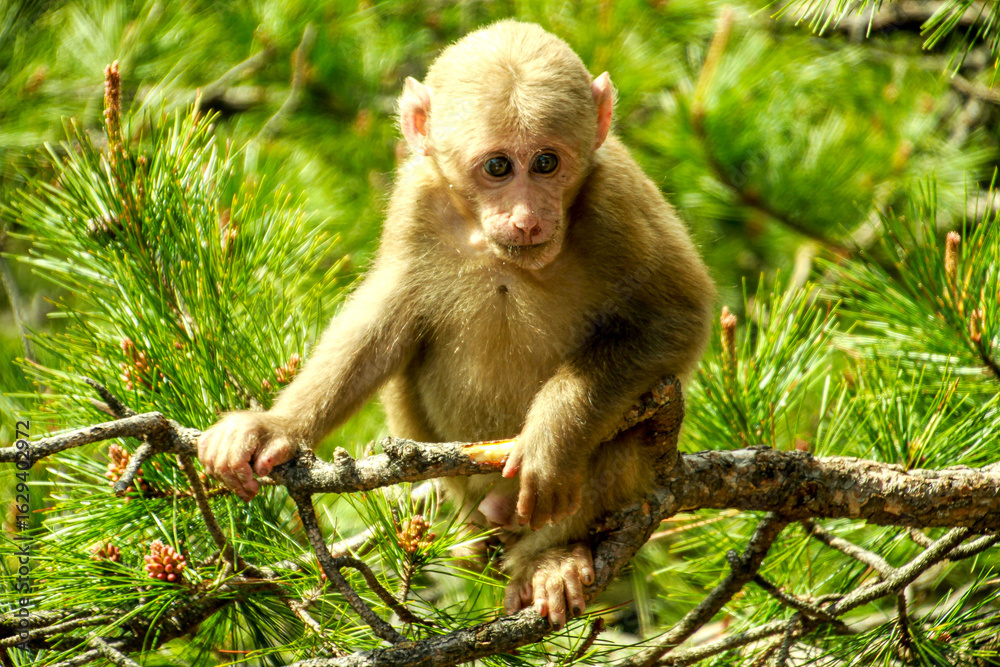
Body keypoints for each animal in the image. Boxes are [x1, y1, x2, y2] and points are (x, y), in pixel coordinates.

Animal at [198, 20, 714, 628]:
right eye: (498, 167)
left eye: (547, 162)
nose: (528, 218)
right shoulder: (417, 197)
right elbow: (385, 320)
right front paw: (275, 426)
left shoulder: (619, 199)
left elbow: (676, 318)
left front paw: (551, 438)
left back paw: (552, 554)